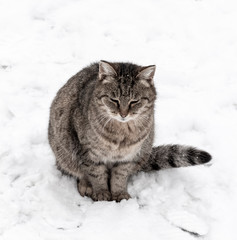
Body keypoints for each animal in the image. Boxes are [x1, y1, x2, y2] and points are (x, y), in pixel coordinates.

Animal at [48, 59, 211, 201]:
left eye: (134, 101)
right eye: (114, 100)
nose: (123, 114)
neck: (122, 132)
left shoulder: (129, 156)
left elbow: (119, 176)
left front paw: (119, 194)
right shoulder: (89, 153)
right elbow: (96, 174)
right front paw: (101, 192)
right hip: (63, 150)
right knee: (74, 170)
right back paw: (85, 185)